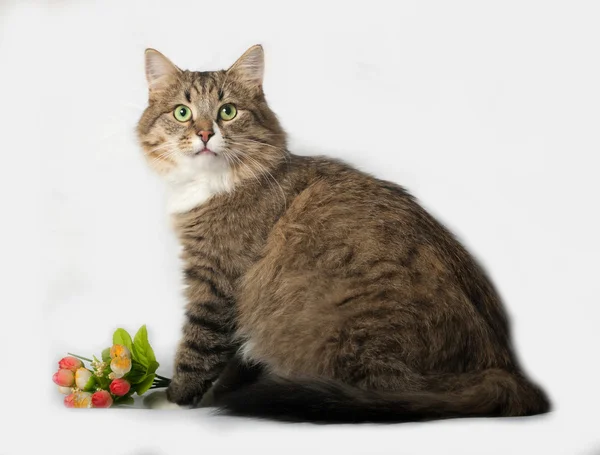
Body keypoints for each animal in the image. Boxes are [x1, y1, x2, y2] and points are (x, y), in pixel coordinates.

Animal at [136, 44, 548, 422]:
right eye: (182, 112)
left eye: (228, 111)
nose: (205, 133)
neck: (212, 184)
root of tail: (504, 371)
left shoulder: (218, 281)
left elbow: (199, 349)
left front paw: (175, 399)